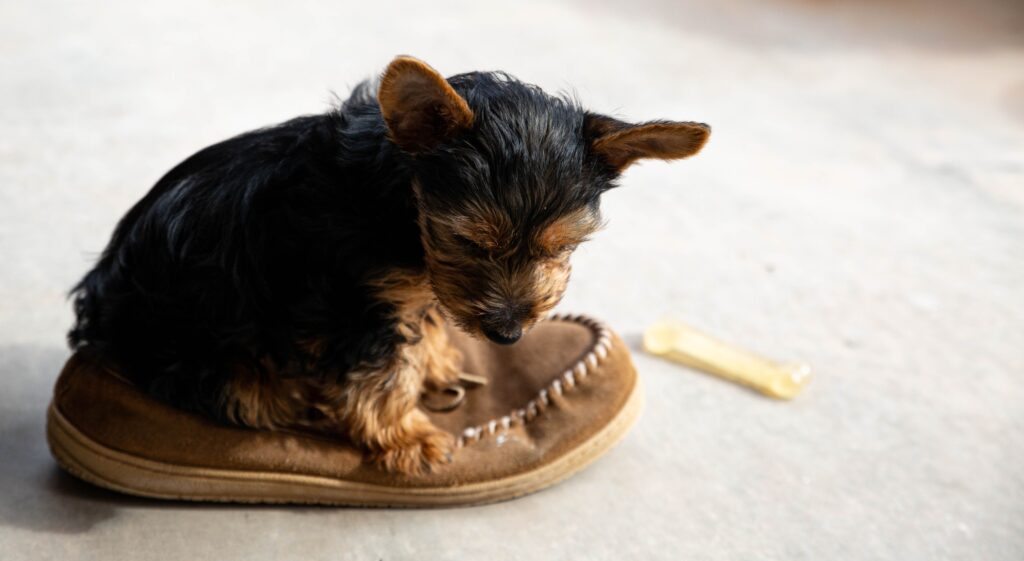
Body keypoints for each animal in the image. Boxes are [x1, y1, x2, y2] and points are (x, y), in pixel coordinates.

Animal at [70, 55, 712, 472]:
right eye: (469, 241)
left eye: (560, 248)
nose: (507, 336)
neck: (399, 205)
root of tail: (95, 313)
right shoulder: (357, 302)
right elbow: (380, 375)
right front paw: (404, 435)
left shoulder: (411, 288)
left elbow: (421, 325)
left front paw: (435, 358)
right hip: (202, 347)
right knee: (246, 393)